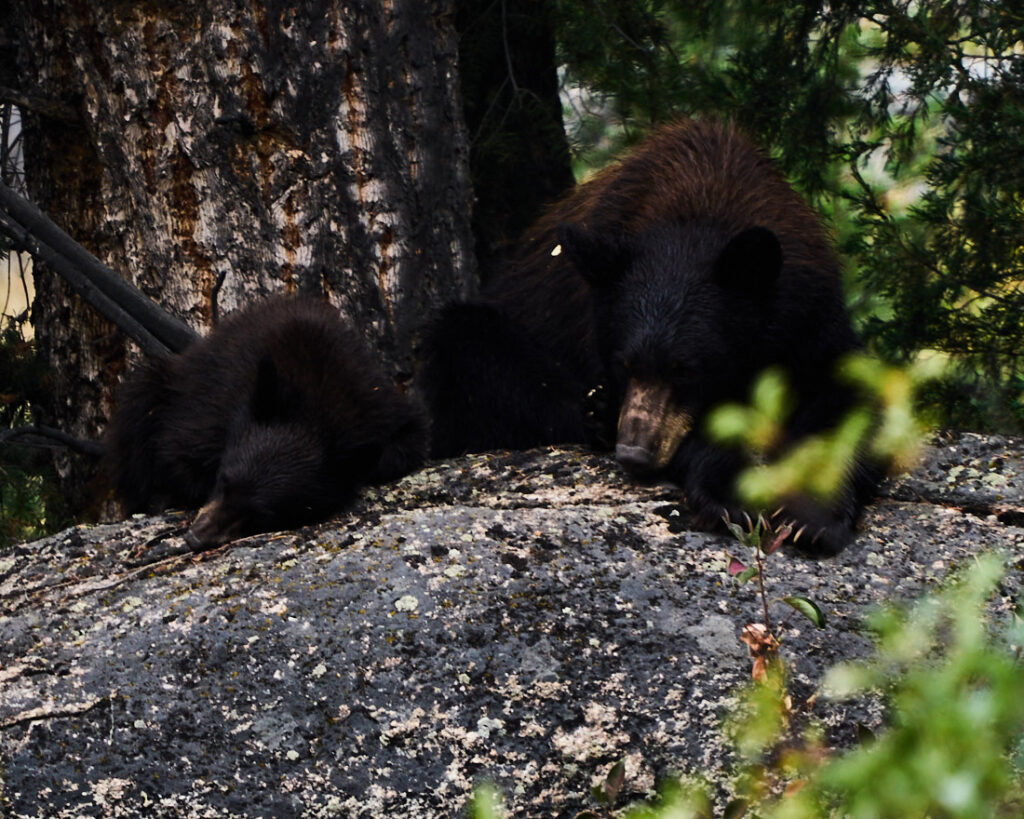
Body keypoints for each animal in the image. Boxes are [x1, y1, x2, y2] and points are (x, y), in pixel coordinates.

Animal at [107, 296, 428, 549]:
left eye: (260, 514)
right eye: (223, 481)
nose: (196, 538)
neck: (317, 402)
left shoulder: (376, 405)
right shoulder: (214, 406)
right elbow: (177, 453)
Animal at [422, 118, 881, 555]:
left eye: (686, 369)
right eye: (623, 363)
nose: (634, 453)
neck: (702, 206)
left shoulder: (811, 316)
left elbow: (848, 402)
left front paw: (814, 519)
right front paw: (730, 497)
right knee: (468, 340)